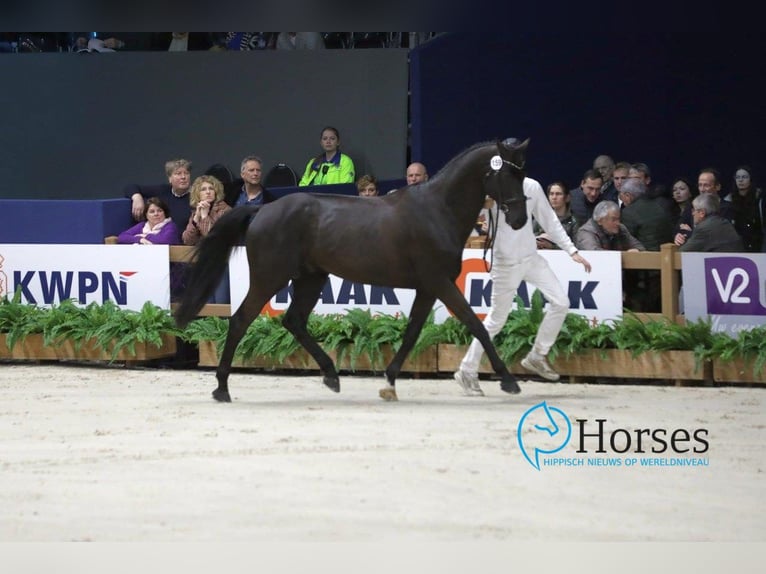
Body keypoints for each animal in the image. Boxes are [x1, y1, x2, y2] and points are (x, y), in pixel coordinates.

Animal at [177, 138, 532, 402]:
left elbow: (413, 332)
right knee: (241, 320)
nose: (519, 220)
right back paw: (222, 388)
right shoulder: (440, 281)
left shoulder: (428, 287)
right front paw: (509, 381)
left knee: (294, 321)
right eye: (509, 174)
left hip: (311, 277)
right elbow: (476, 324)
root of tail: (262, 210)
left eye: (522, 174)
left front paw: (389, 383)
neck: (437, 210)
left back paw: (331, 375)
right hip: (270, 278)